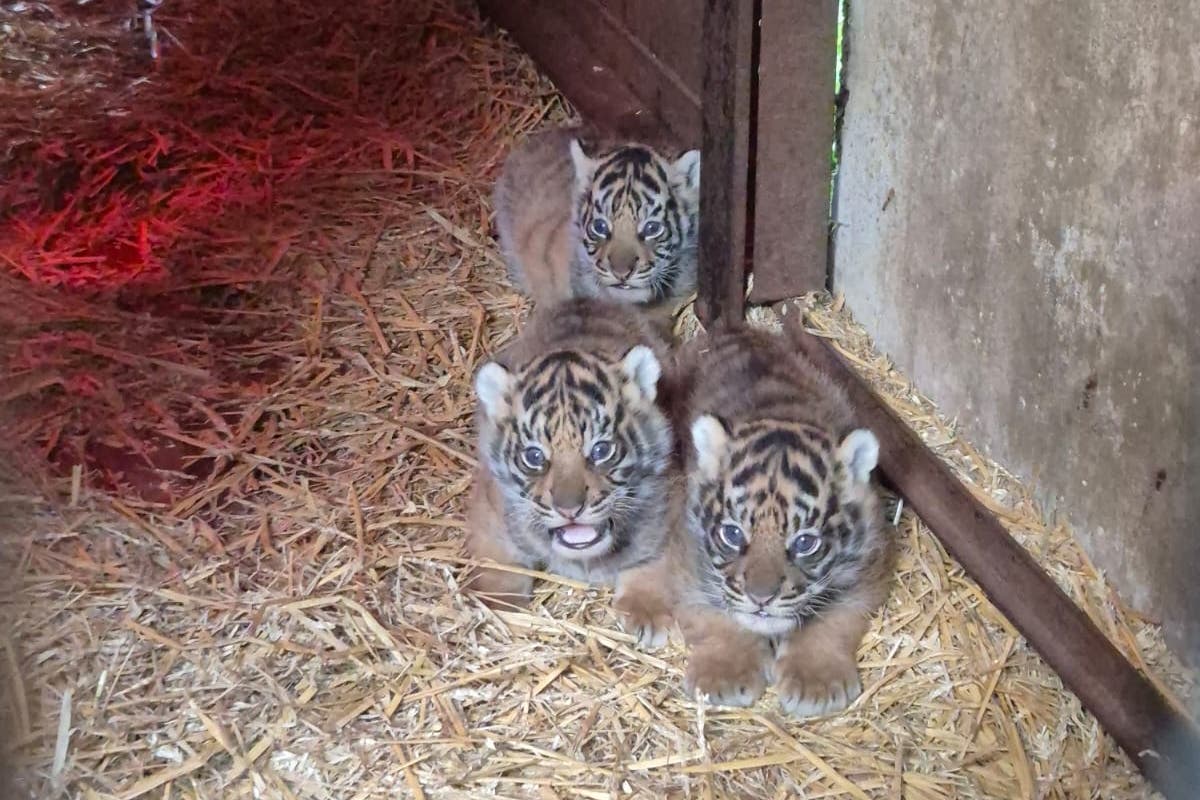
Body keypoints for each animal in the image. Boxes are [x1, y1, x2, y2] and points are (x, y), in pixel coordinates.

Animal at [465, 298, 689, 647]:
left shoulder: (672, 507)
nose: (569, 509)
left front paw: (648, 614)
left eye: (601, 450)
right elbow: (496, 560)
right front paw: (496, 607)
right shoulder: (491, 510)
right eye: (534, 456)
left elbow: (655, 560)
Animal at [670, 327, 896, 717]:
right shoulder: (689, 559)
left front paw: (815, 683)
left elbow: (832, 621)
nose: (761, 597)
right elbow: (714, 614)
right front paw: (725, 675)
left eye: (805, 543)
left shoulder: (868, 566)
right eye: (732, 534)